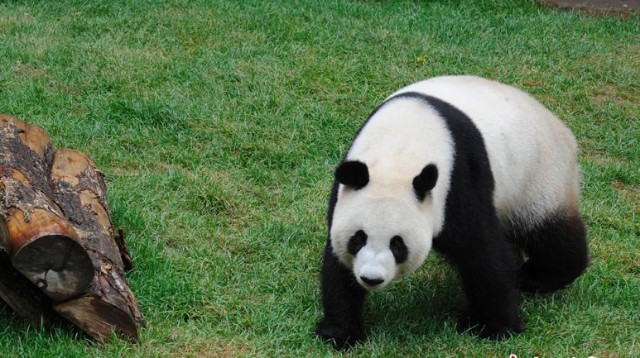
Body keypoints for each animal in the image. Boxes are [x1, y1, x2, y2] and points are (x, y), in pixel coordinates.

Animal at [316, 76, 592, 350]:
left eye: (397, 244)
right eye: (358, 239)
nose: (371, 278)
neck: (398, 151)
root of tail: (562, 129)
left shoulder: (458, 182)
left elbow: (482, 252)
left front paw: (495, 328)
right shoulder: (344, 194)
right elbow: (336, 266)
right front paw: (340, 333)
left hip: (538, 178)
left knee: (549, 234)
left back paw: (536, 277)